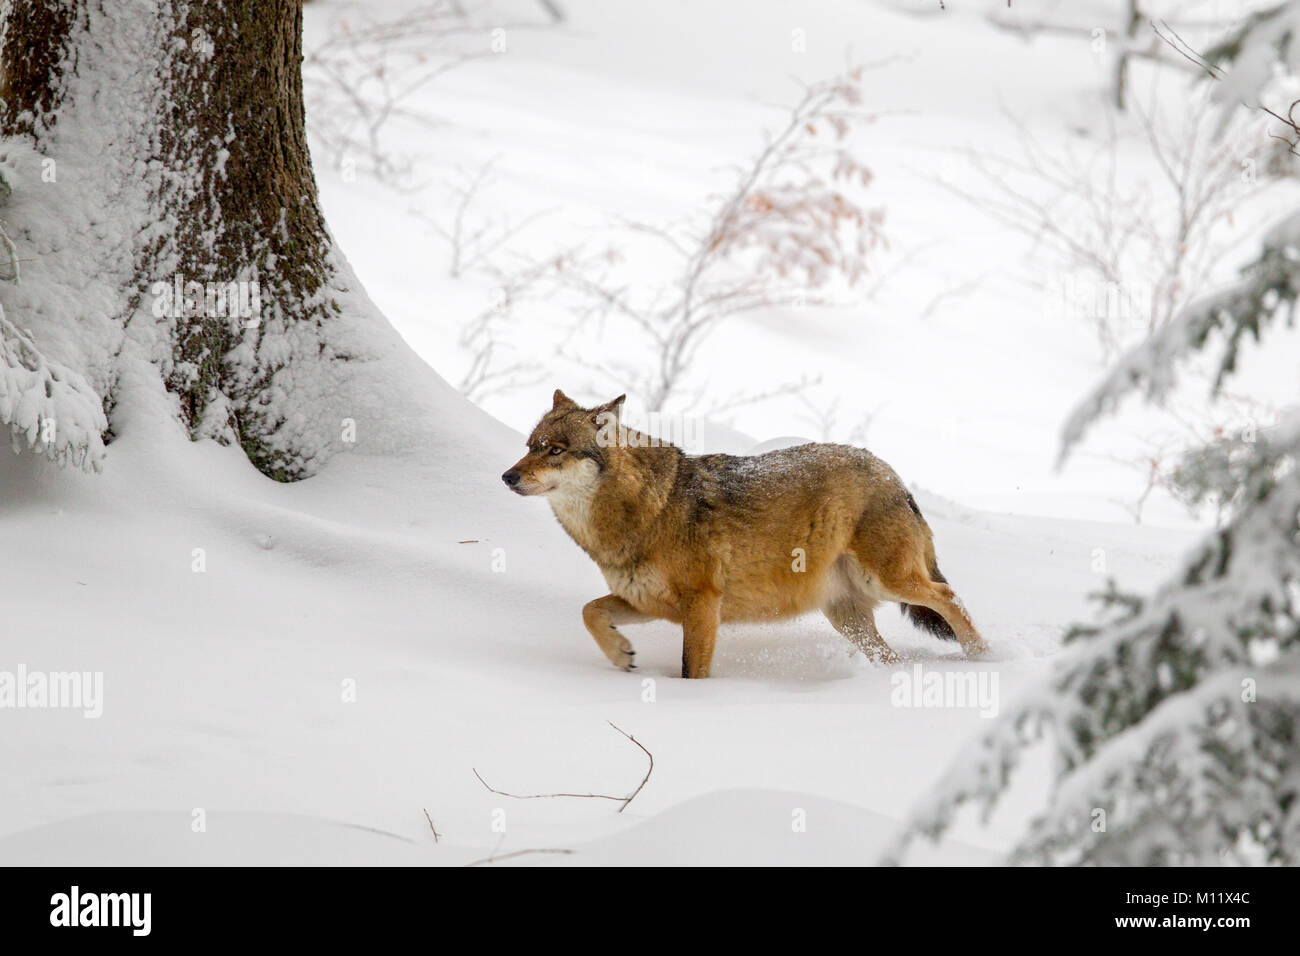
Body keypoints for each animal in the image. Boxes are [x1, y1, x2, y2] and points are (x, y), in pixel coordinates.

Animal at [501, 390, 987, 681]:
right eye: (529, 446)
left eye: (556, 450)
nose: (507, 476)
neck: (644, 509)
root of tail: (891, 473)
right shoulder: (646, 602)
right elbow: (590, 611)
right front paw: (621, 655)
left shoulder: (702, 604)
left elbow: (691, 669)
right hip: (847, 616)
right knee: (891, 652)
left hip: (890, 581)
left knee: (950, 598)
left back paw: (984, 658)